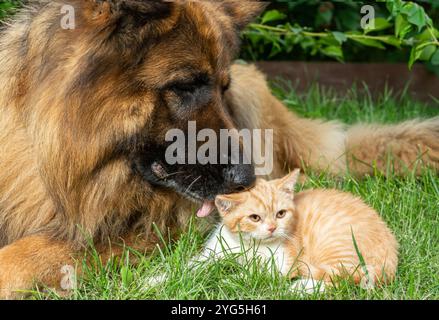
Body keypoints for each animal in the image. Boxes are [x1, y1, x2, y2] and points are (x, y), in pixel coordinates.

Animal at [201, 170, 400, 292]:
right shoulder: (217, 246)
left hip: (336, 246)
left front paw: (231, 280)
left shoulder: (282, 263)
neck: (248, 245)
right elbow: (201, 261)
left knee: (342, 280)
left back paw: (299, 288)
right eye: (255, 218)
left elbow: (259, 273)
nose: (272, 228)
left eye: (280, 214)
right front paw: (197, 272)